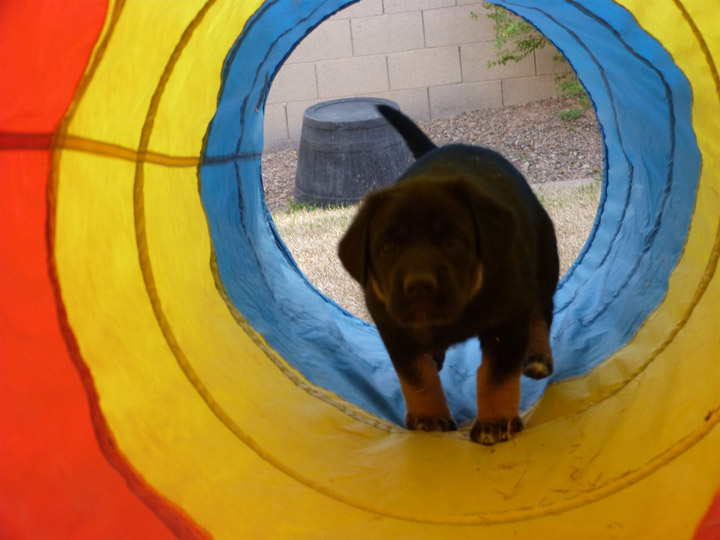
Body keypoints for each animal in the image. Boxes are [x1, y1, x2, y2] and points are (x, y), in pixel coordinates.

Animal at [338, 104, 564, 442]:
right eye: (387, 247)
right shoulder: (391, 324)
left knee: (541, 312)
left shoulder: (508, 316)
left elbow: (496, 375)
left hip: (544, 263)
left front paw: (495, 422)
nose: (419, 285)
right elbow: (416, 375)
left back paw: (538, 357)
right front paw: (429, 418)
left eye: (453, 242)